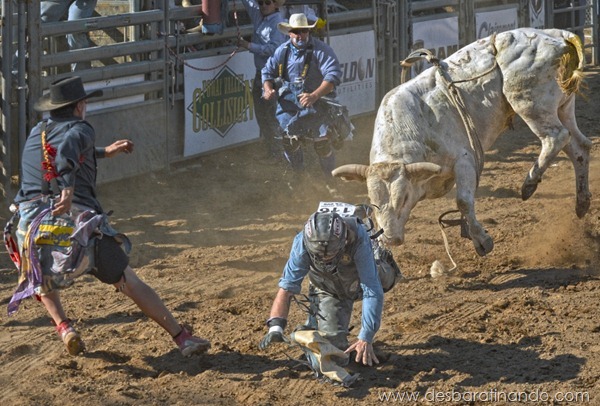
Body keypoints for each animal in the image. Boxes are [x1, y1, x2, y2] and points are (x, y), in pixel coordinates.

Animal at [336, 28, 592, 256]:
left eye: (405, 198)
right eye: (373, 201)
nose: (390, 238)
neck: (410, 128)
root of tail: (557, 35)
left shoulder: (465, 160)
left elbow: (463, 202)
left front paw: (482, 241)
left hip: (529, 102)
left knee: (556, 137)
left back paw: (529, 184)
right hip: (563, 106)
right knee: (580, 146)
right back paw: (582, 203)